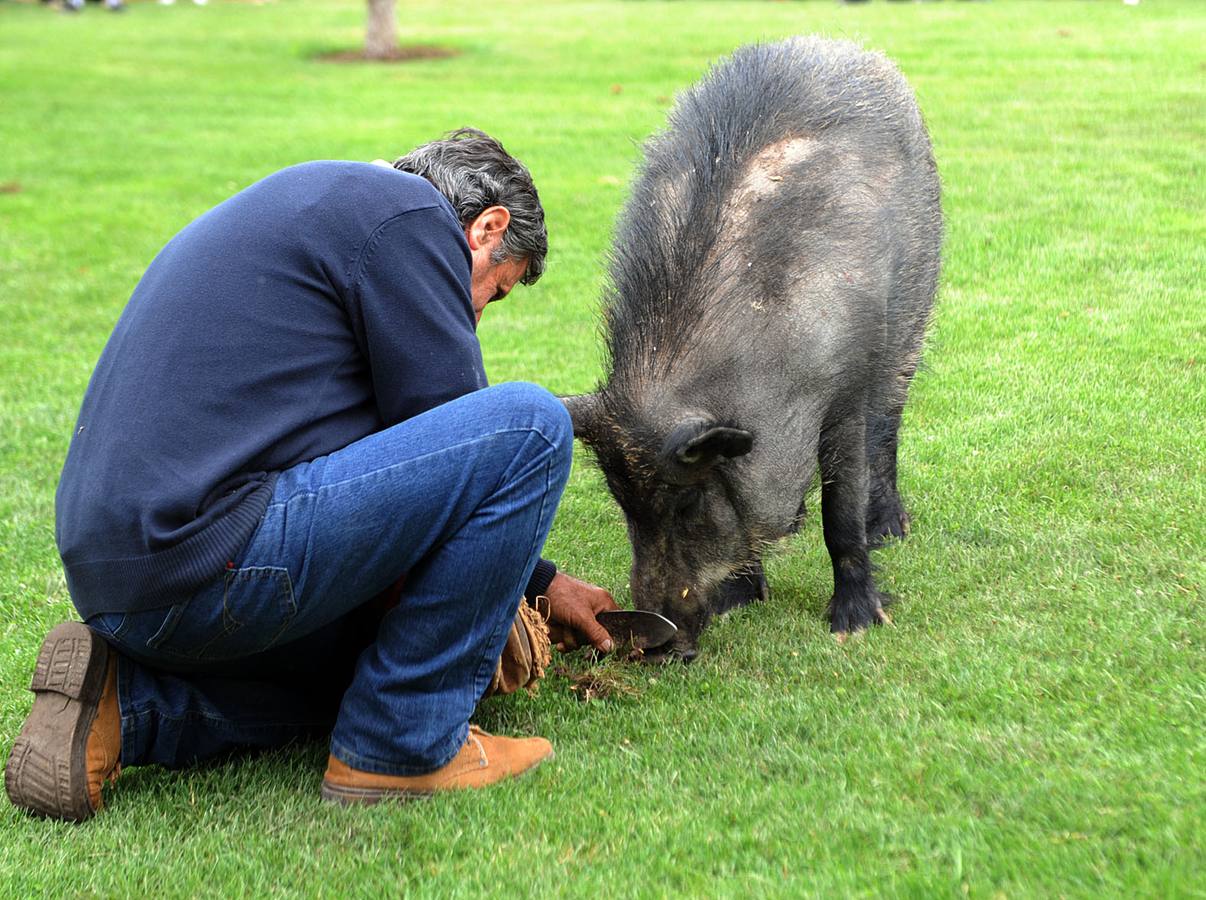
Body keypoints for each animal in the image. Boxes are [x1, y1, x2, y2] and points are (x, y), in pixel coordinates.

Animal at [564, 38, 940, 661]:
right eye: (622, 503)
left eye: (689, 503)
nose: (656, 646)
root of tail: (841, 45)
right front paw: (741, 602)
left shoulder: (846, 388)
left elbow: (841, 512)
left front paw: (856, 624)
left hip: (913, 319)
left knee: (889, 424)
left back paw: (890, 530)